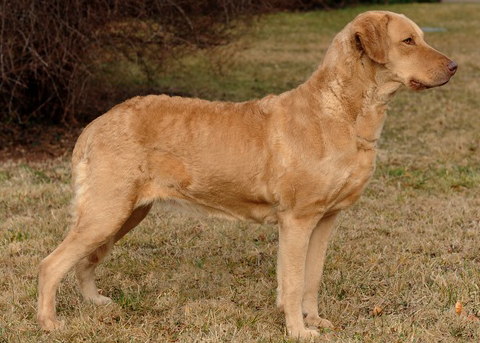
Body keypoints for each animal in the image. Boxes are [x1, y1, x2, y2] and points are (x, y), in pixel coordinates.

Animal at [38, 10, 458, 338]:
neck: (342, 112)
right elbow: (293, 281)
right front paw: (299, 331)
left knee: (85, 260)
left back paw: (96, 302)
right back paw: (50, 323)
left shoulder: (326, 219)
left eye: (421, 37)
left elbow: (311, 277)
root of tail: (94, 125)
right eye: (407, 40)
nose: (454, 67)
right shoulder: (297, 219)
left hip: (126, 212)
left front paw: (314, 320)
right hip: (107, 210)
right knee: (52, 263)